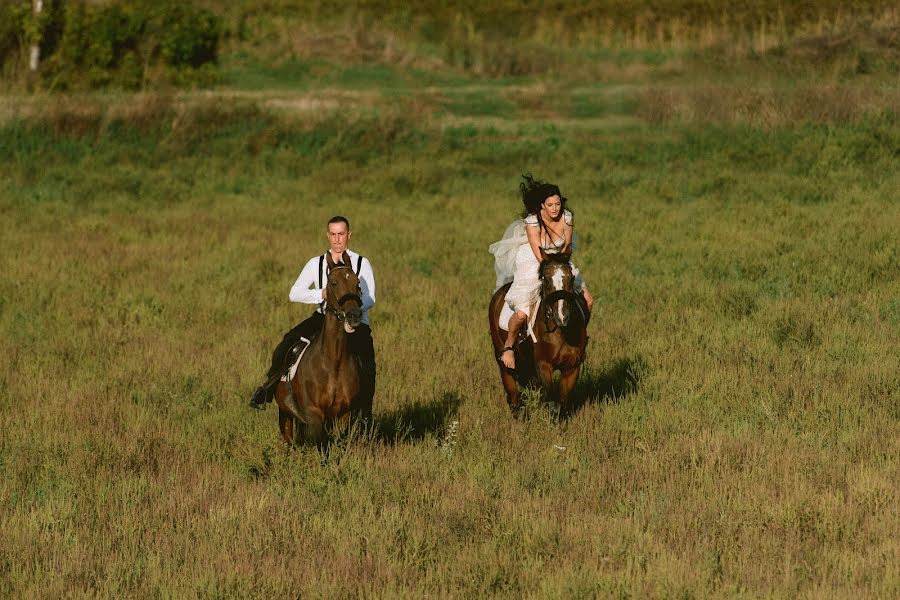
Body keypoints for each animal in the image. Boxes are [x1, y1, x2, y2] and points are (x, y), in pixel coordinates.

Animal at [278, 250, 370, 446]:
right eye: (333, 283)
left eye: (357, 283)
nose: (354, 315)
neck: (333, 362)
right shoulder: (314, 415)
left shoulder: (343, 414)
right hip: (285, 416)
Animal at [488, 251, 588, 414]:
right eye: (546, 279)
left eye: (571, 277)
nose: (562, 317)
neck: (560, 332)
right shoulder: (543, 366)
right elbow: (552, 402)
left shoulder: (572, 367)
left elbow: (562, 402)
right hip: (502, 358)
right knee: (513, 394)